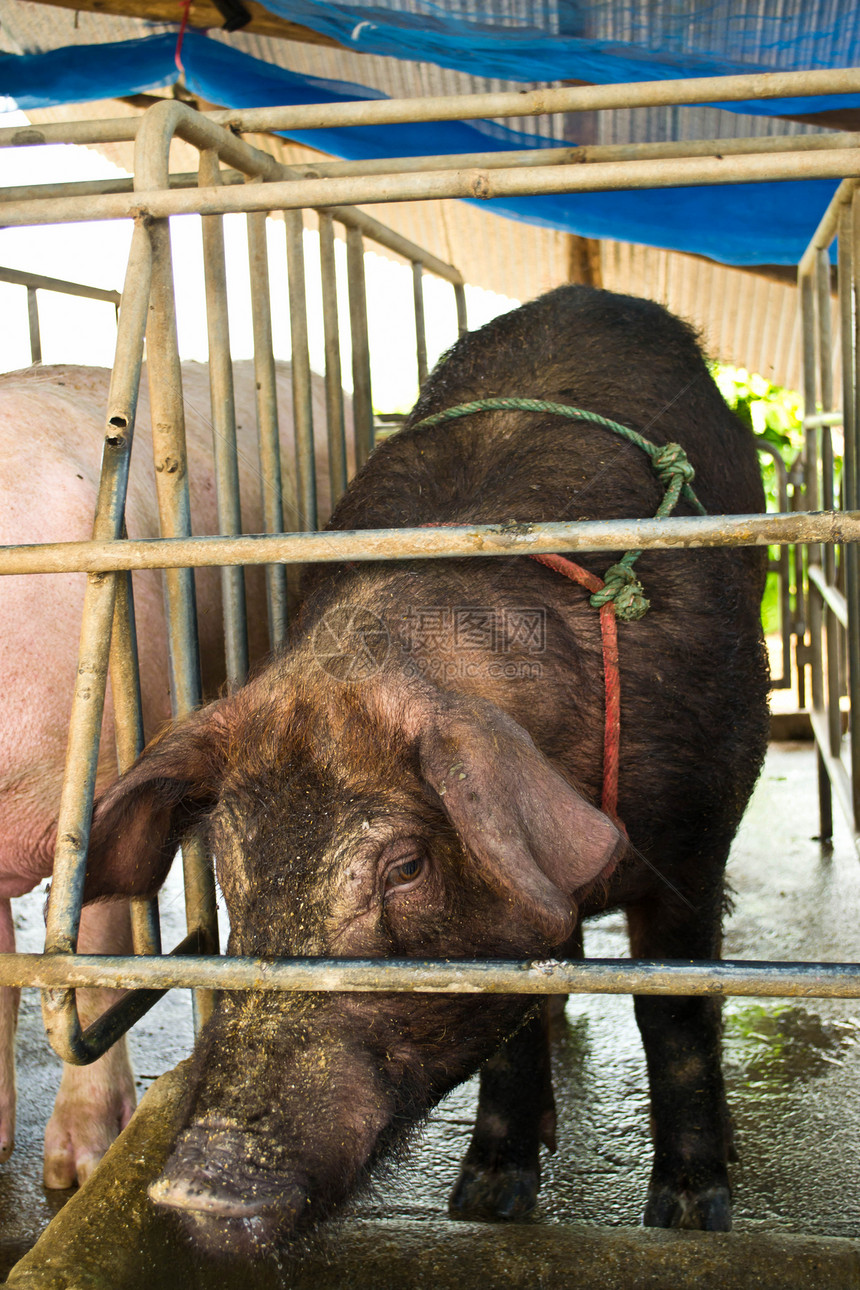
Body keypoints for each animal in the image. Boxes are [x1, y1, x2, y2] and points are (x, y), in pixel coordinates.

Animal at [83, 287, 768, 1253]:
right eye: (229, 865)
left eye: (405, 865)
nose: (197, 1192)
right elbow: (507, 1014)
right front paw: (484, 1202)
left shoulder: (697, 835)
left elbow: (675, 1015)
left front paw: (690, 1217)